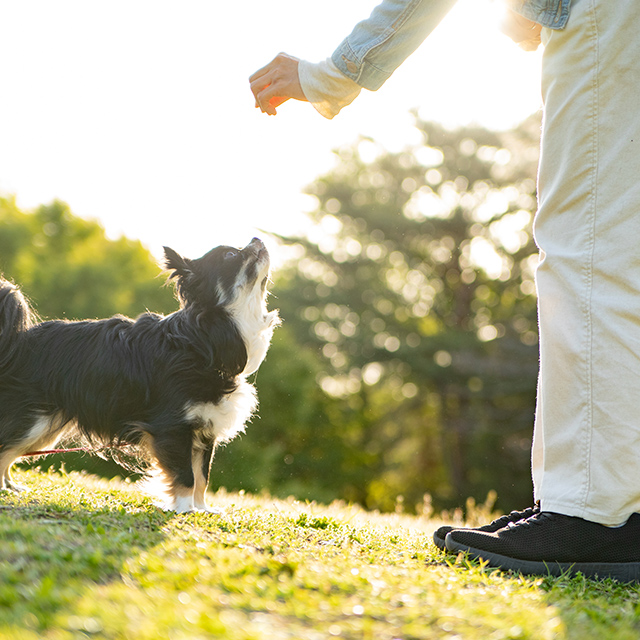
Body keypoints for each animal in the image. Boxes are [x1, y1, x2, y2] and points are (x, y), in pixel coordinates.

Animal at [0, 238, 280, 512]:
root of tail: (18, 342)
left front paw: (201, 509)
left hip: (43, 428)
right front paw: (183, 509)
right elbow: (186, 476)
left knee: (7, 452)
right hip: (33, 422)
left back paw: (9, 486)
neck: (204, 341)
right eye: (231, 255)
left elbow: (202, 476)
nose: (257, 238)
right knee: (5, 448)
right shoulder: (173, 427)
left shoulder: (204, 429)